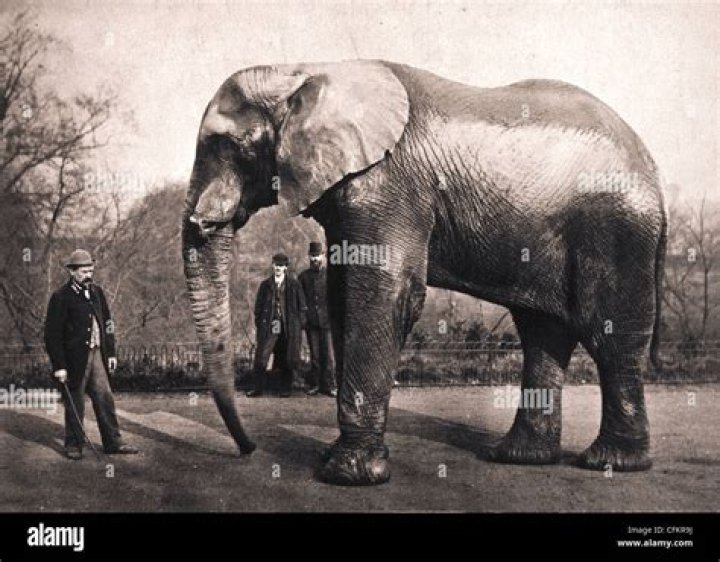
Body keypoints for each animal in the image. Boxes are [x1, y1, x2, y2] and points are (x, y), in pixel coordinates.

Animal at [182, 60, 667, 486]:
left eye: (227, 146)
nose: (249, 449)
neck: (303, 69)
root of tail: (652, 167)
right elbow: (342, 295)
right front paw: (337, 460)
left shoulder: (389, 184)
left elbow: (385, 292)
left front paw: (345, 475)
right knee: (543, 333)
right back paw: (518, 457)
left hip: (617, 229)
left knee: (608, 336)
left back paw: (611, 463)